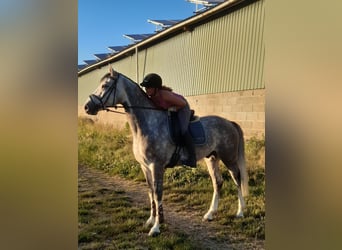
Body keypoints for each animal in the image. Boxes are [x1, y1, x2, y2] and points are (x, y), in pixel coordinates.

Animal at [83, 67, 248, 236]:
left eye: (105, 86)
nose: (87, 107)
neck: (147, 124)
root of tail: (230, 122)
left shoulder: (156, 165)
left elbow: (157, 193)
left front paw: (156, 227)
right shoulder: (145, 166)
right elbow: (150, 192)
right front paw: (151, 220)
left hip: (229, 157)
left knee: (237, 179)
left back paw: (240, 212)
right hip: (212, 158)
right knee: (218, 182)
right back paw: (210, 214)